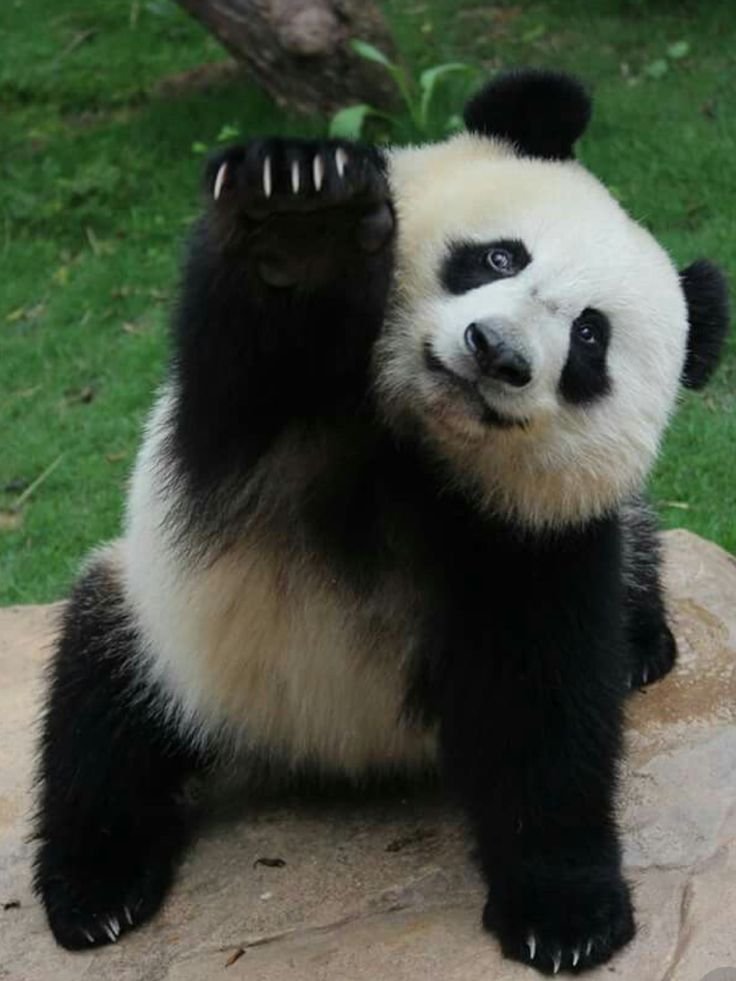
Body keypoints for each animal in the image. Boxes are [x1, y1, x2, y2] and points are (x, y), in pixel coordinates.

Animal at [34, 70, 729, 974]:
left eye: (588, 338)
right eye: (500, 256)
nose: (496, 351)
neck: (417, 448)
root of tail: (322, 754)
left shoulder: (535, 539)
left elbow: (545, 703)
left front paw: (567, 913)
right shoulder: (248, 440)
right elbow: (255, 349)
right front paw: (304, 224)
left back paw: (644, 641)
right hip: (161, 621)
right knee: (101, 716)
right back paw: (97, 891)